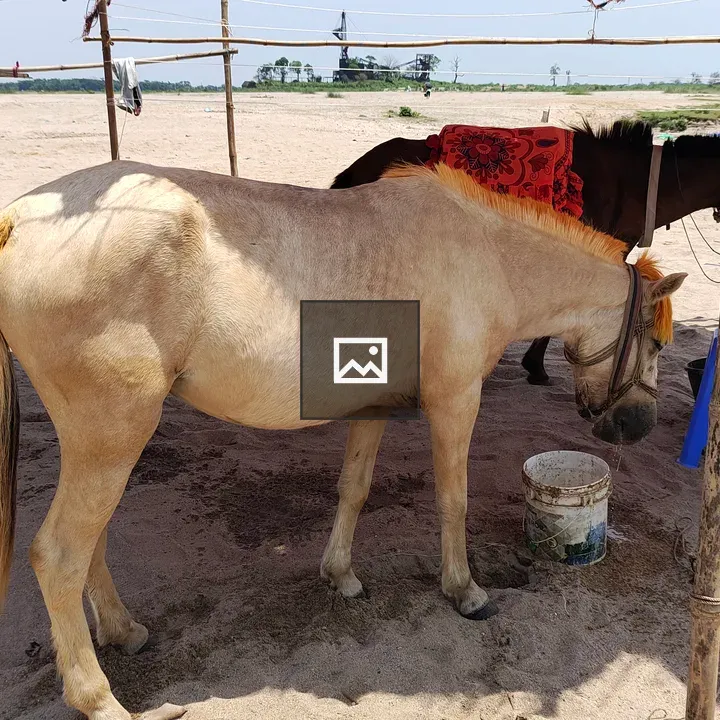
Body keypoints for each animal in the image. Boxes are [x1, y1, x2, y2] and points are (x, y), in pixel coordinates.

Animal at [0, 161, 684, 720]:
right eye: (655, 341)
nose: (636, 426)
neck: (485, 253)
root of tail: (19, 219)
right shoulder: (456, 401)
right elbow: (453, 500)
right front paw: (464, 591)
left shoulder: (372, 405)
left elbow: (353, 489)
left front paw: (341, 575)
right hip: (114, 433)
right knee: (59, 554)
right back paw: (99, 699)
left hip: (104, 441)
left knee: (92, 541)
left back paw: (123, 632)